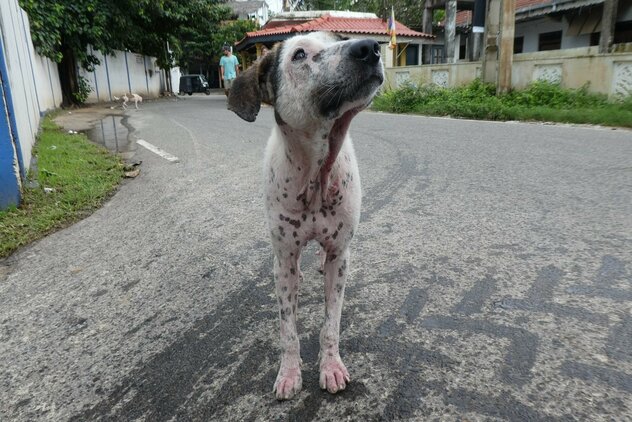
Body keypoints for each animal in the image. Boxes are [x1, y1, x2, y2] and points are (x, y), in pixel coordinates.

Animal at [227, 32, 386, 398]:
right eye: (299, 55)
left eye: (340, 39)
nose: (369, 47)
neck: (316, 174)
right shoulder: (284, 257)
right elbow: (288, 329)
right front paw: (289, 372)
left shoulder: (340, 254)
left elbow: (331, 323)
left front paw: (331, 366)